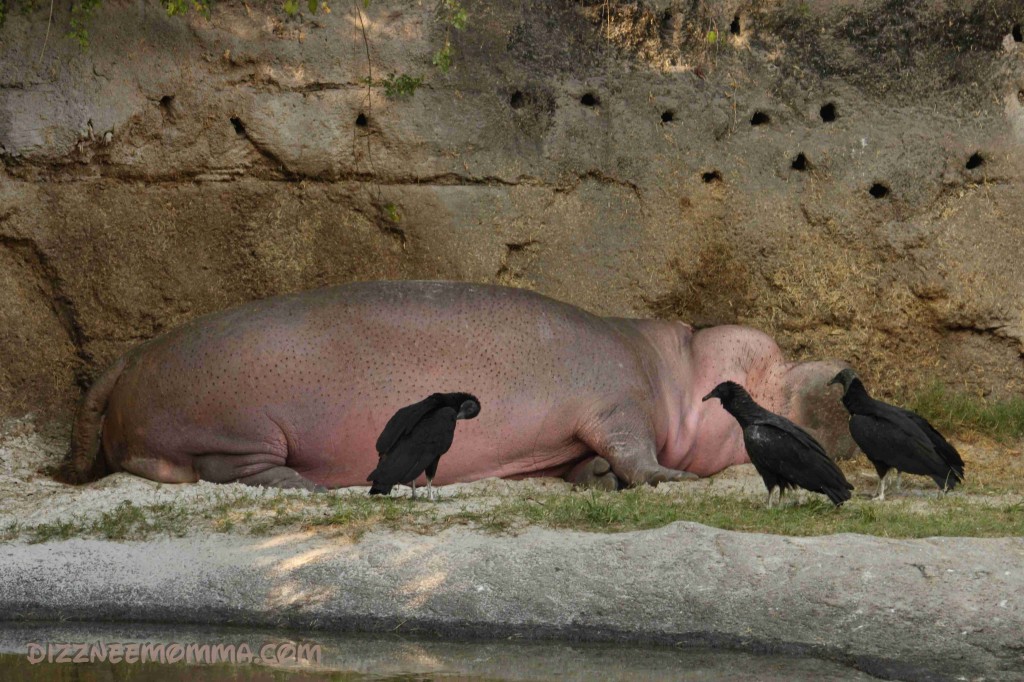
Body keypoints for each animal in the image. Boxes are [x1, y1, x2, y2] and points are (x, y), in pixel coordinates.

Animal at [68, 281, 854, 491]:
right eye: (771, 363)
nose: (847, 372)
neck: (680, 369)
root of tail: (129, 359)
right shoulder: (618, 403)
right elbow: (636, 451)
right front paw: (668, 480)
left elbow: (589, 460)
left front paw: (592, 477)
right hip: (242, 426)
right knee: (226, 468)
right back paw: (302, 485)